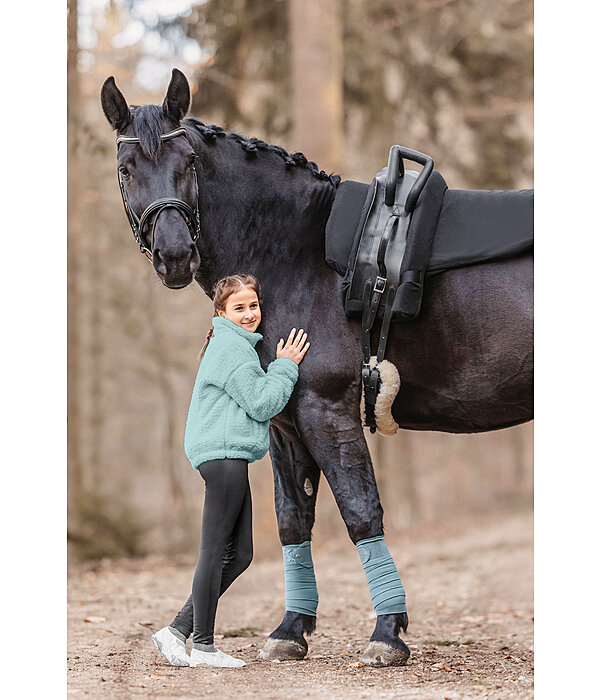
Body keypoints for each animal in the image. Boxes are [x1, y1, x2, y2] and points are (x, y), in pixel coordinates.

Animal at [101, 71, 532, 668]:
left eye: (187, 163)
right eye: (126, 169)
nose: (174, 254)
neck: (296, 252)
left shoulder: (327, 411)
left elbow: (360, 512)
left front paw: (387, 634)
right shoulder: (285, 424)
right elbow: (292, 519)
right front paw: (291, 629)